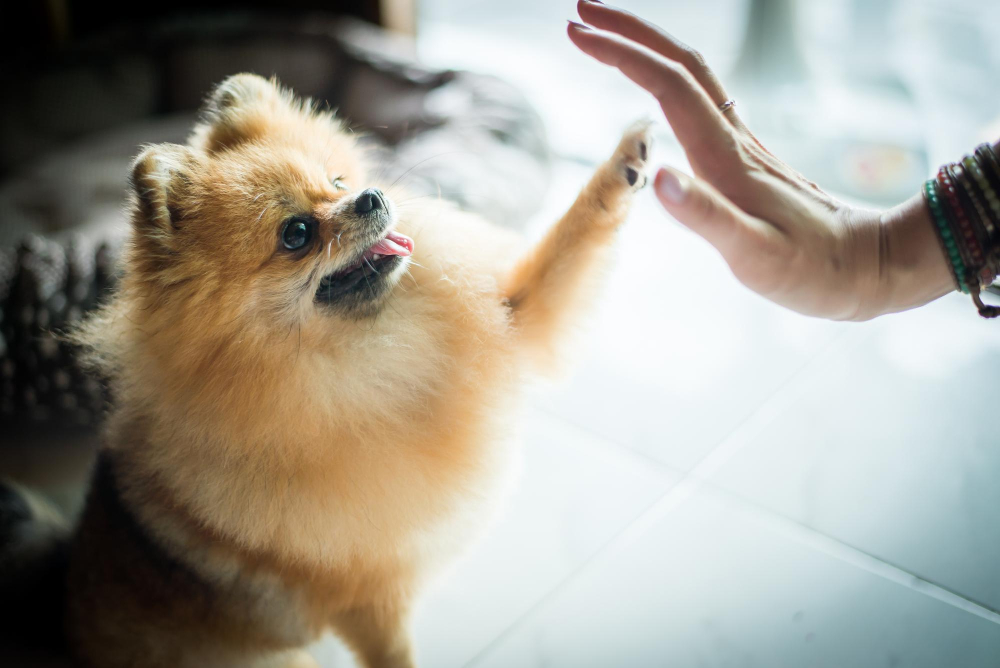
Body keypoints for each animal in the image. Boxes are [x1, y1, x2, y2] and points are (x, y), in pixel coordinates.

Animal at [15, 74, 652, 668]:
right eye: (296, 233)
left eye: (338, 182)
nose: (371, 195)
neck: (366, 360)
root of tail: (62, 615)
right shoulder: (371, 597)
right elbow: (396, 655)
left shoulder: (512, 317)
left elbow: (565, 248)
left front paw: (626, 161)